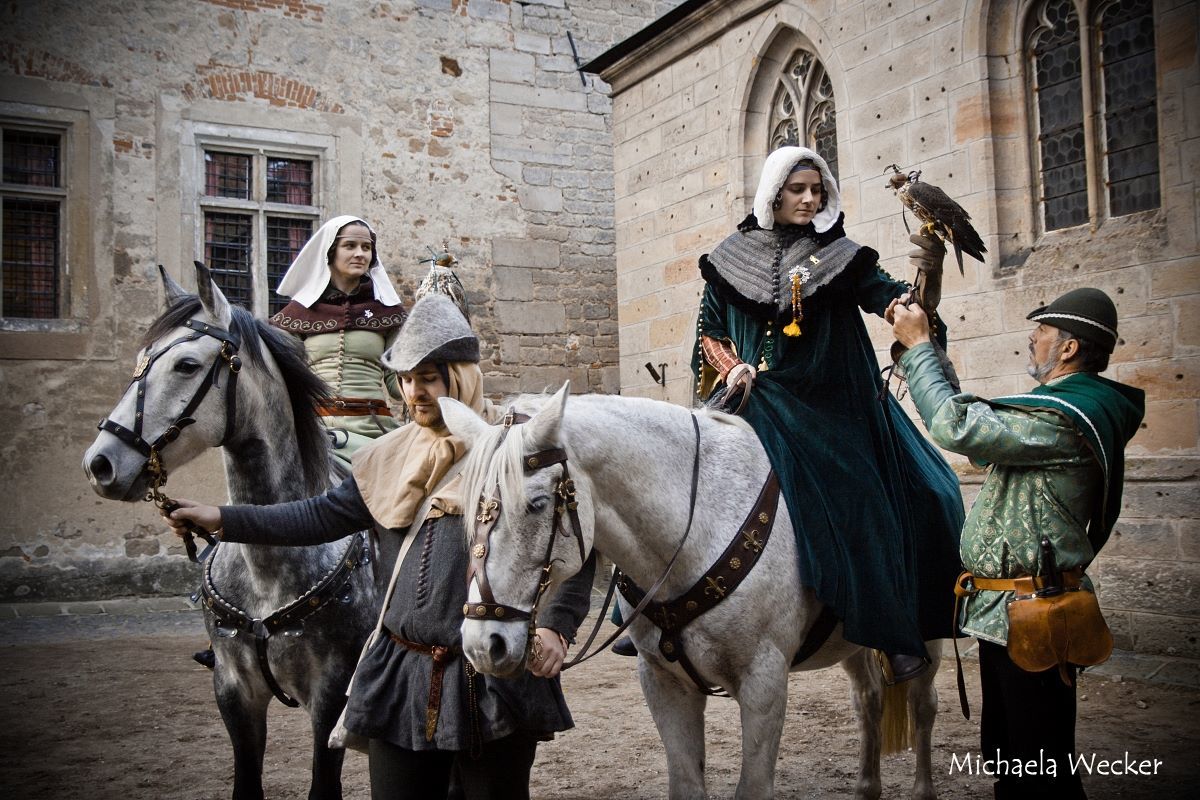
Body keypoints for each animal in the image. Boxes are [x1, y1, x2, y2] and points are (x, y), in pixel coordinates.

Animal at [84, 263, 376, 800]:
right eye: (139, 362)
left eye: (186, 366)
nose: (101, 463)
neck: (270, 564)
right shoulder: (235, 694)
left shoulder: (331, 697)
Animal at [446, 383, 940, 800]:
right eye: (470, 509)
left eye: (536, 504)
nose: (482, 645)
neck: (697, 530)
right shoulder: (664, 683)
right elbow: (686, 783)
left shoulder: (764, 683)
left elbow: (753, 788)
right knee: (868, 699)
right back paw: (867, 787)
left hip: (928, 639)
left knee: (923, 705)